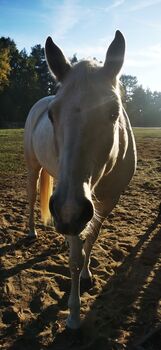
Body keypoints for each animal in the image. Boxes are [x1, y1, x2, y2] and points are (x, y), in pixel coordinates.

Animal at [23, 31, 136, 330]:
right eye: (52, 114)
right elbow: (74, 258)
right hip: (35, 169)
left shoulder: (107, 202)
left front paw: (86, 273)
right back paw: (32, 231)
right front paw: (73, 315)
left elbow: (92, 238)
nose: (69, 212)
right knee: (31, 198)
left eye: (114, 112)